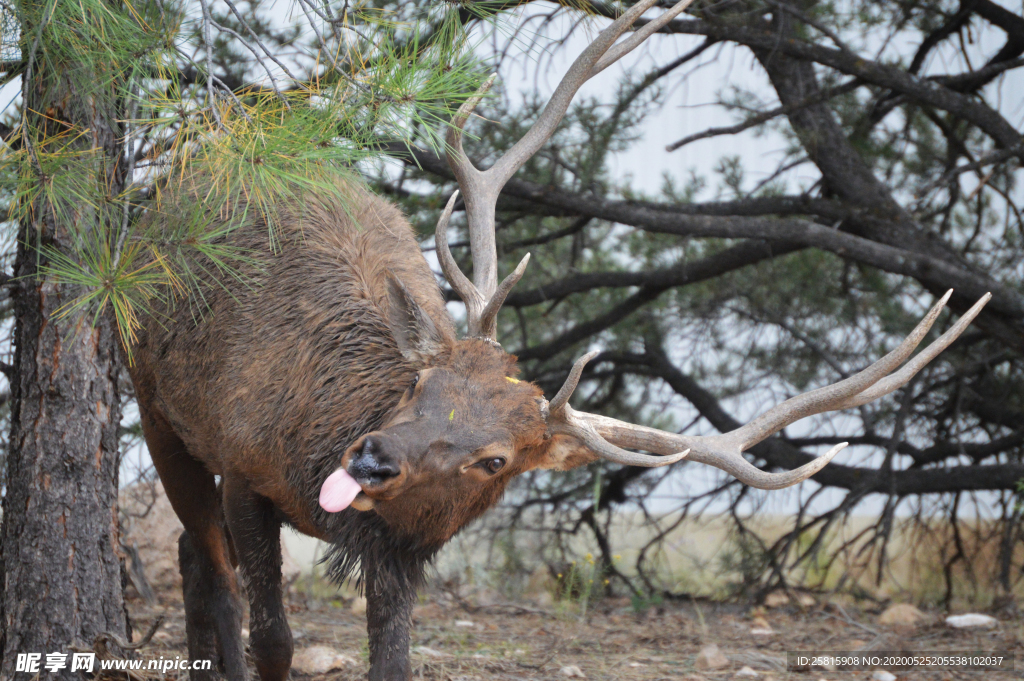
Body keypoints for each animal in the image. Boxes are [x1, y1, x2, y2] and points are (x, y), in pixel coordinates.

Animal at [123, 1, 987, 679]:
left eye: (494, 458)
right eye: (420, 384)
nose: (370, 458)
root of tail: (172, 184)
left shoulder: (402, 548)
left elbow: (392, 660)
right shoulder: (246, 462)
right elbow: (272, 636)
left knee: (190, 558)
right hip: (154, 399)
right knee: (207, 569)